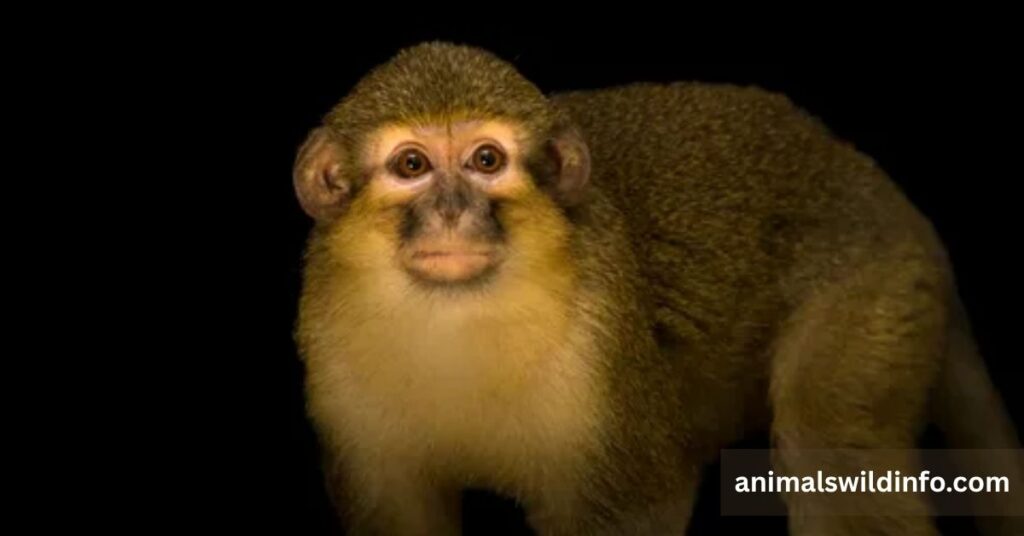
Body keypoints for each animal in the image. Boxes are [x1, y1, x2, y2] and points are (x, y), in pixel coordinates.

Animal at [292, 42, 1022, 535]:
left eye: (486, 160)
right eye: (412, 165)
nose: (451, 211)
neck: (456, 318)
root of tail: (881, 191)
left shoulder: (600, 348)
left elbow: (644, 501)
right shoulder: (336, 362)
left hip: (872, 282)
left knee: (828, 438)